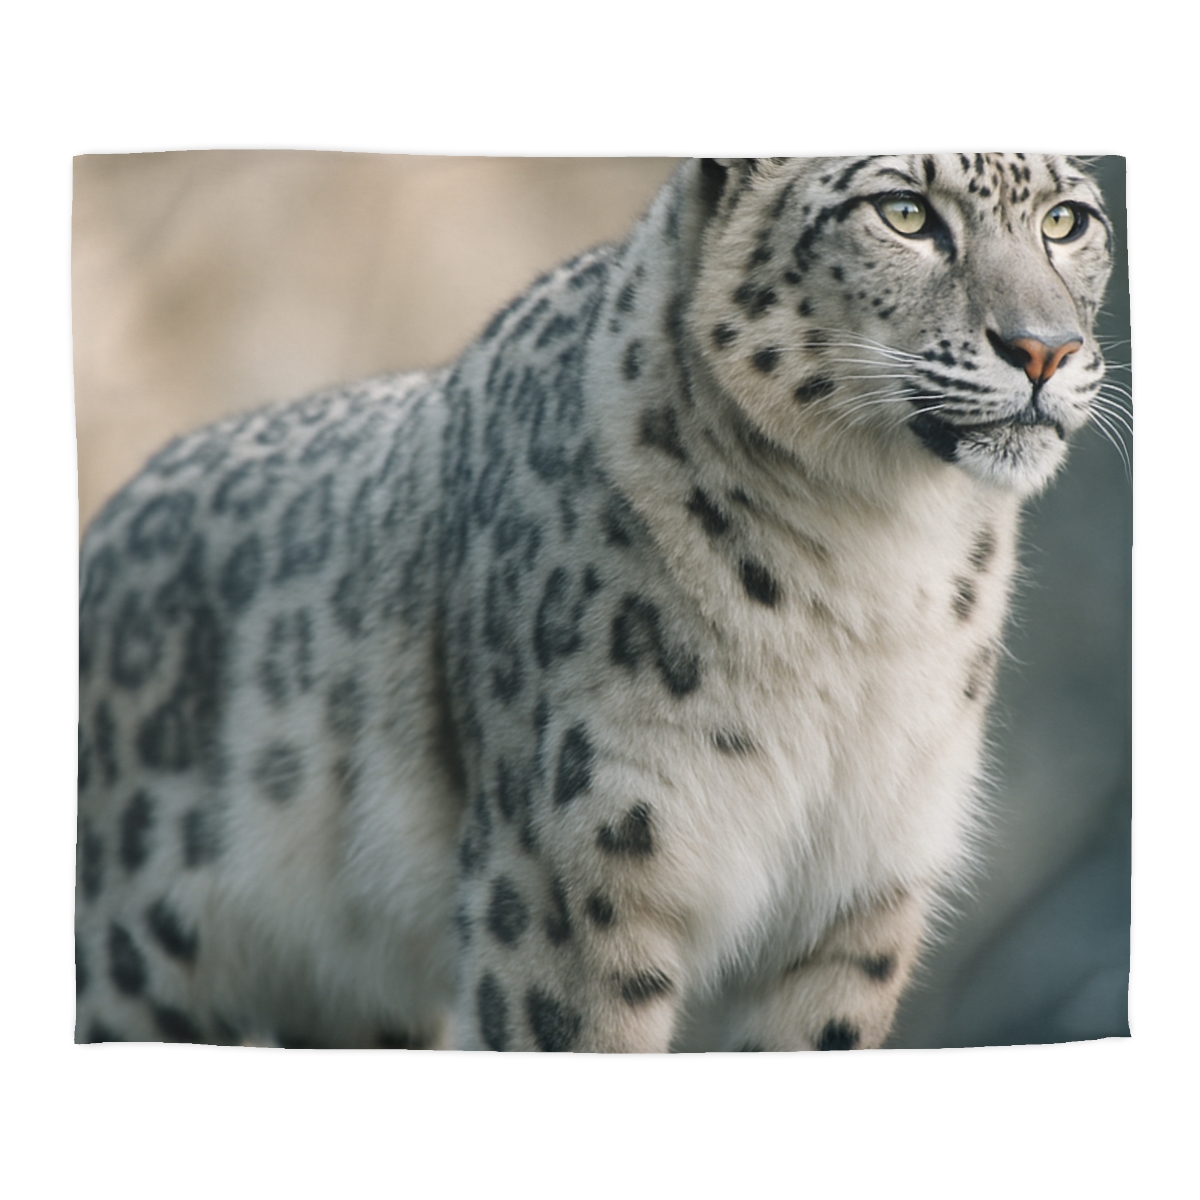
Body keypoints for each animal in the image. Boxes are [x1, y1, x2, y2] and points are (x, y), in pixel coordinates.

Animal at [75, 155, 1114, 1051]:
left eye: (1067, 220)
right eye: (903, 211)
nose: (1044, 349)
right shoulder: (574, 876)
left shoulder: (860, 891)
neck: (878, 565)